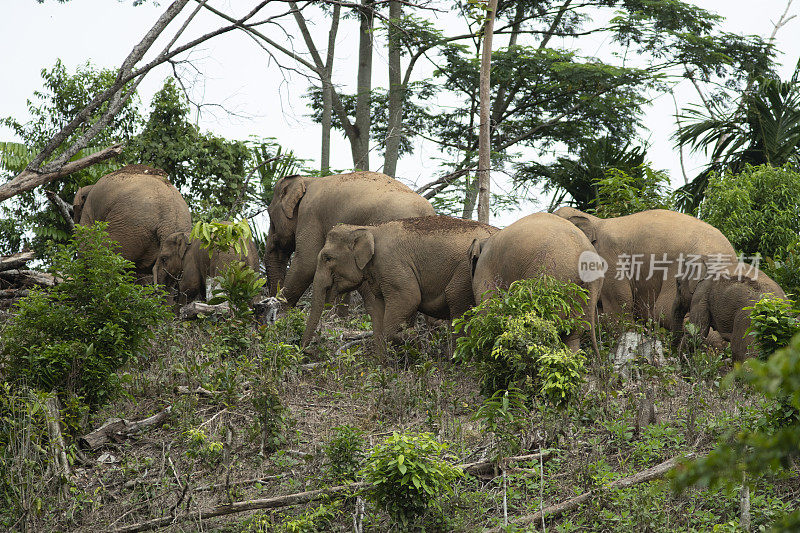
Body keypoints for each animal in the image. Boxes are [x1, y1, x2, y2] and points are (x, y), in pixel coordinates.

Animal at [304, 214, 496, 356]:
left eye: (327, 258)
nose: (305, 352)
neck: (371, 229)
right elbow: (379, 308)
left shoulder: (392, 264)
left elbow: (409, 299)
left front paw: (413, 339)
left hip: (465, 271)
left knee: (455, 299)